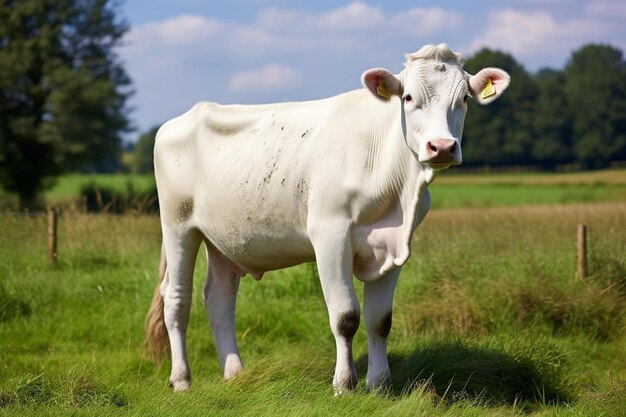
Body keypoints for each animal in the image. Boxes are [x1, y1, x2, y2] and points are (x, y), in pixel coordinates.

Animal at [145, 44, 508, 392]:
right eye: (408, 98)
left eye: (464, 99)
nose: (442, 147)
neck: (396, 190)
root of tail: (181, 119)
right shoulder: (330, 235)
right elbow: (345, 316)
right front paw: (344, 384)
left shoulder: (395, 245)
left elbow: (380, 320)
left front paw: (379, 385)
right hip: (178, 225)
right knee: (176, 299)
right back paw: (181, 379)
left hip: (223, 237)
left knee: (219, 298)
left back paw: (235, 374)